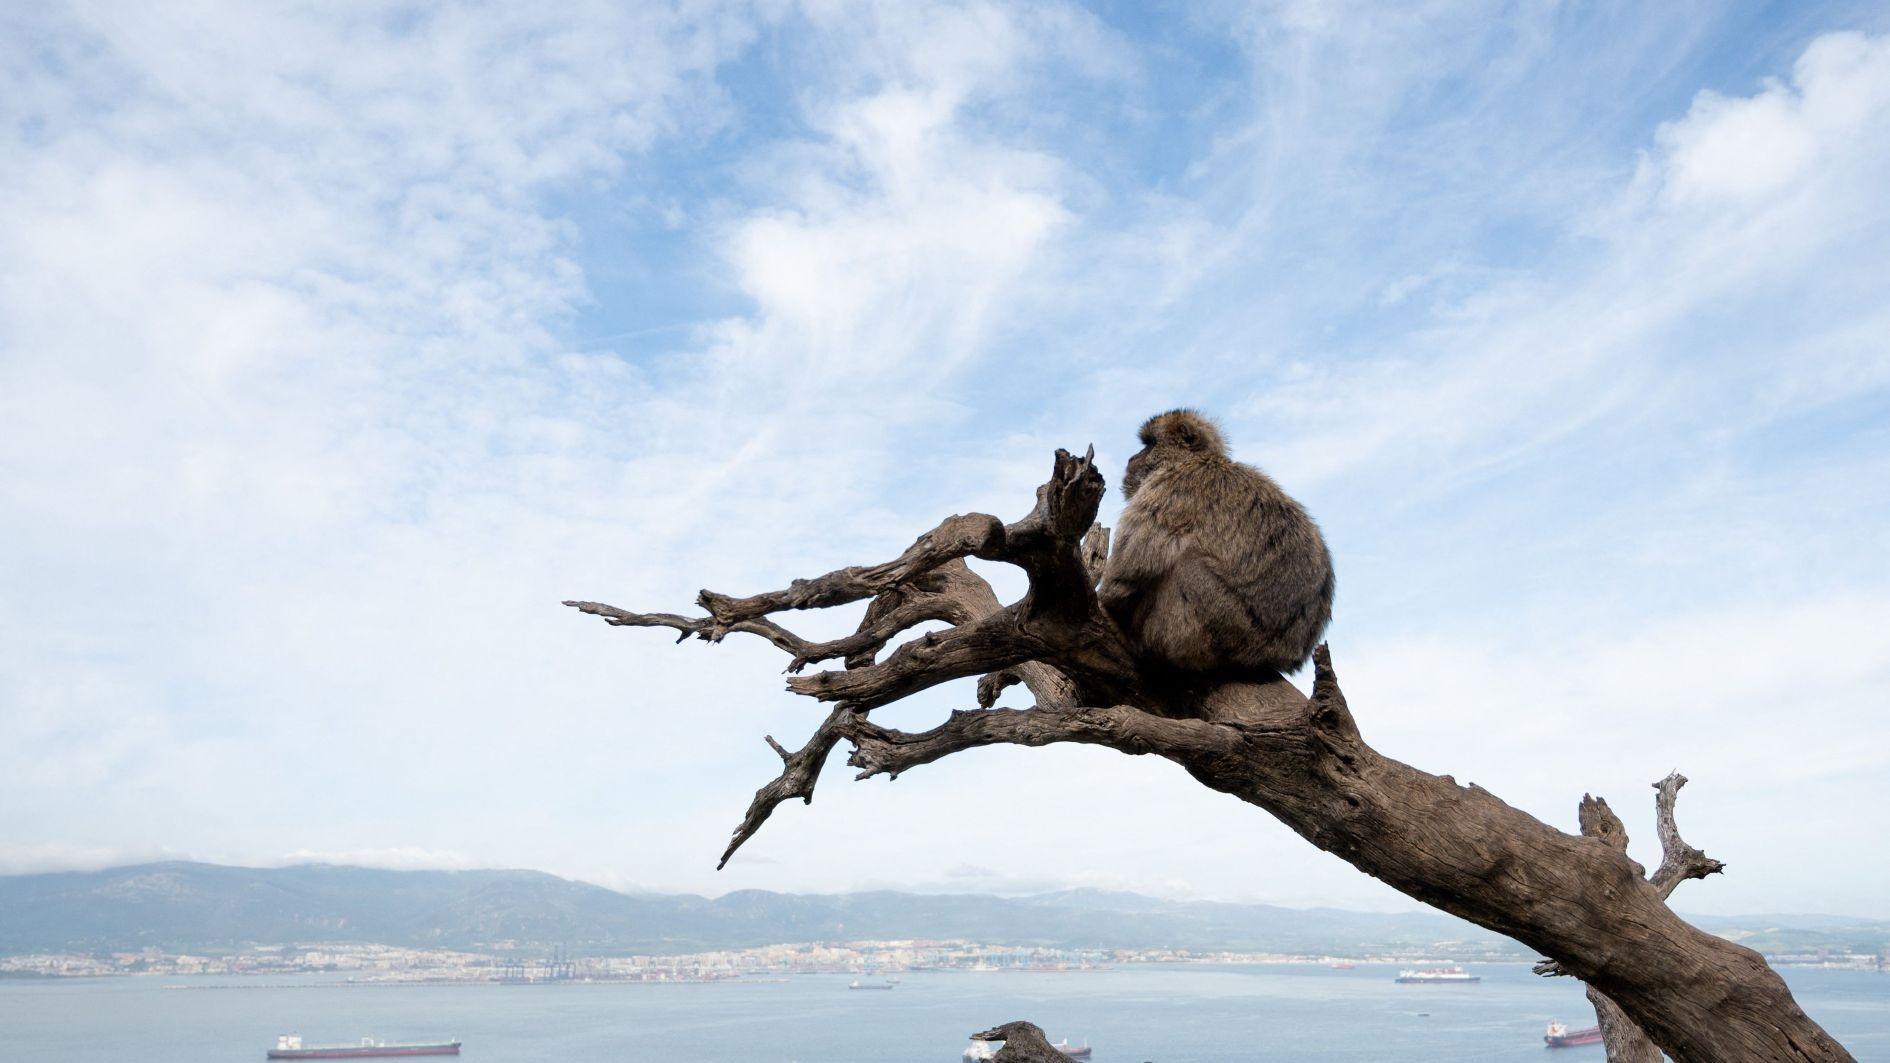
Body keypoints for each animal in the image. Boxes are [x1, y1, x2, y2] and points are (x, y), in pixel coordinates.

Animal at [1098, 409, 1334, 683]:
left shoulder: (1171, 488)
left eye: (1150, 444)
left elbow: (1126, 574)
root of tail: (1283, 653)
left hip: (1230, 627)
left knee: (1185, 566)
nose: (1132, 458)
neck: (1198, 460)